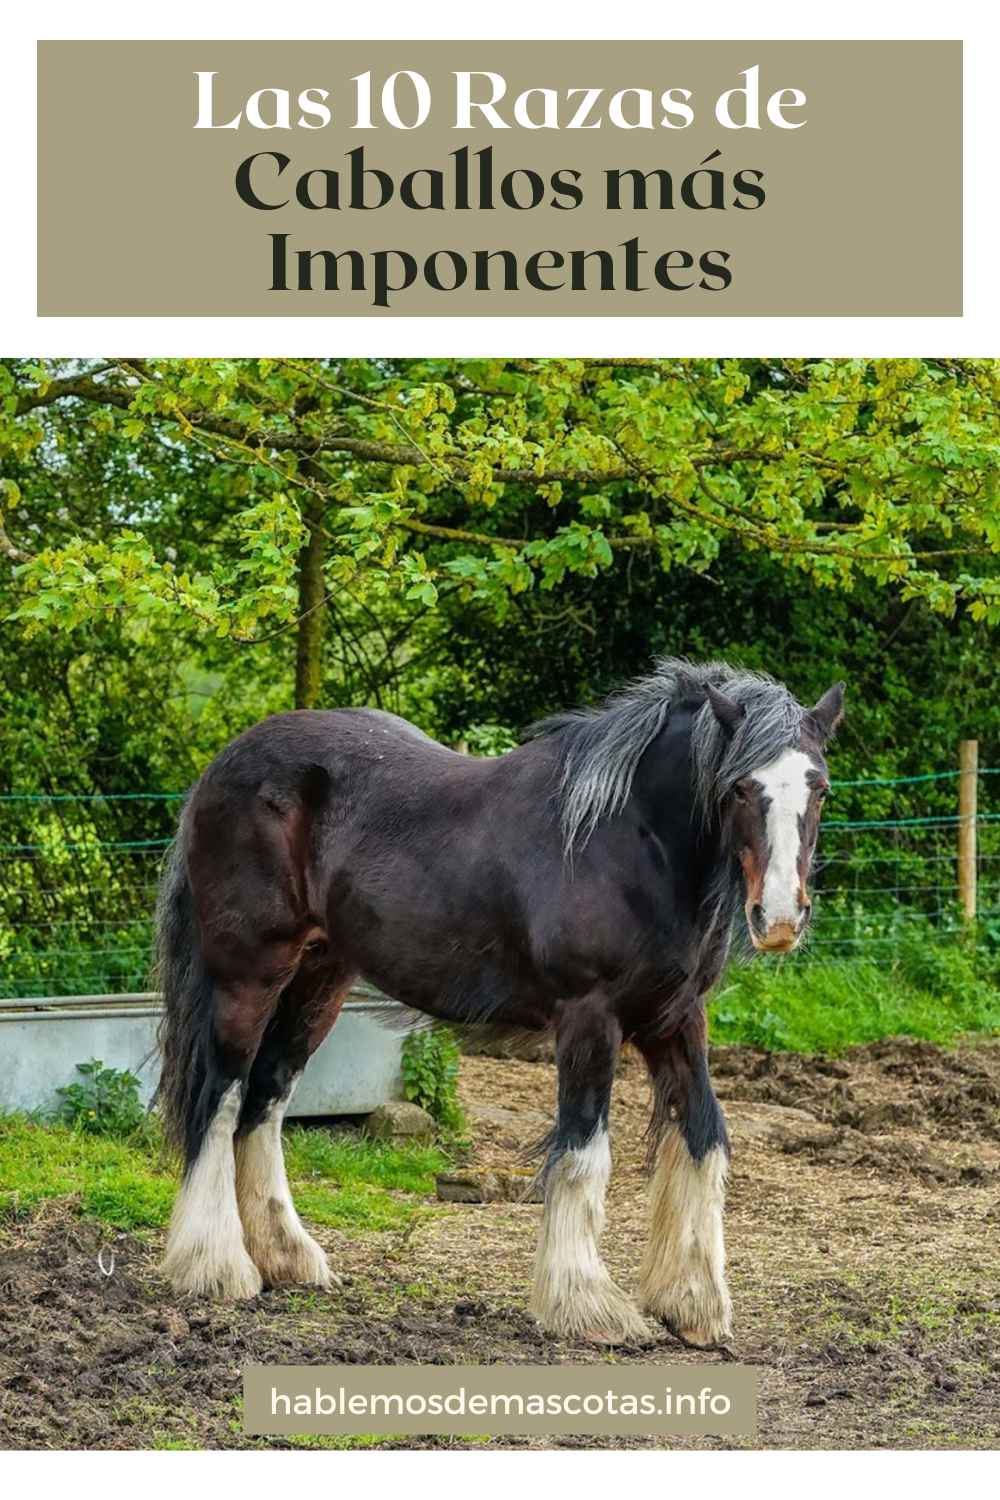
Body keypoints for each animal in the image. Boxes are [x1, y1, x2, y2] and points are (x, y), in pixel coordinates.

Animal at [155, 657, 844, 1347]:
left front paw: (693, 1304)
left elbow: (704, 1138)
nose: (779, 918)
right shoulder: (590, 1018)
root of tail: (225, 763)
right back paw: (217, 1266)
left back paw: (287, 1258)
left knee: (266, 1100)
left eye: (821, 788)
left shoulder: (675, 1018)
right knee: (221, 1096)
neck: (629, 838)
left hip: (318, 980)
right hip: (249, 973)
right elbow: (583, 1152)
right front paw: (586, 1304)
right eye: (739, 788)